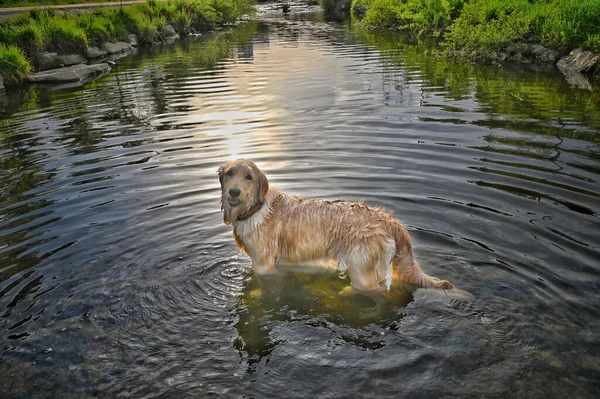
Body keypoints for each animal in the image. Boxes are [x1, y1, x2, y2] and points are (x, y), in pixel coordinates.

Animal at [218, 159, 452, 294]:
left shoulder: (264, 267)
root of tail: (388, 220)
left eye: (249, 177)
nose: (234, 192)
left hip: (361, 271)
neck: (254, 208)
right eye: (229, 174)